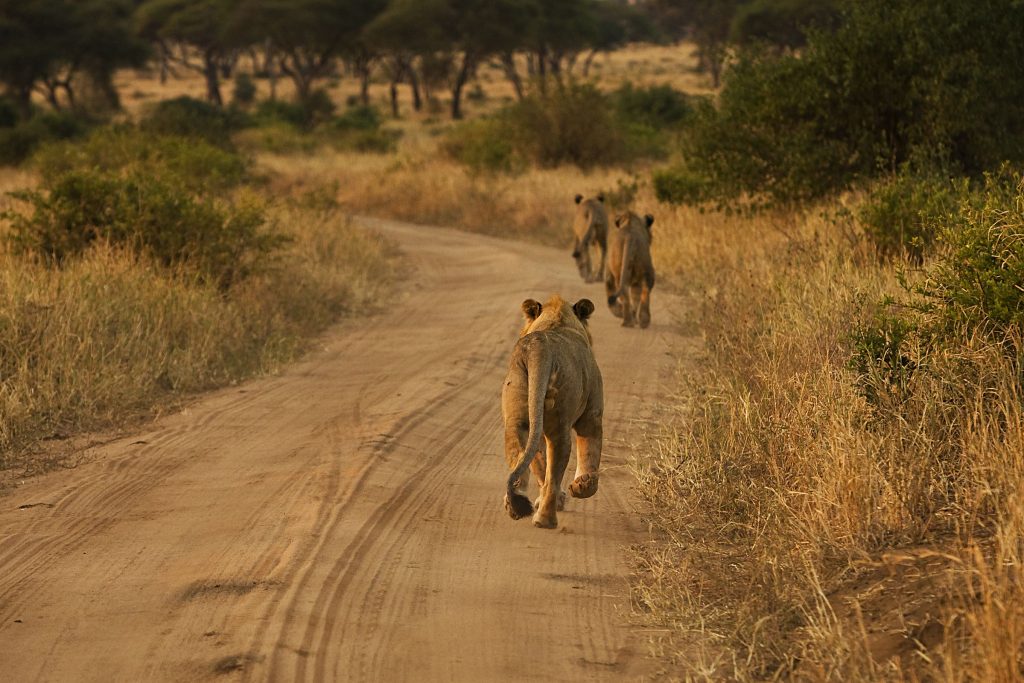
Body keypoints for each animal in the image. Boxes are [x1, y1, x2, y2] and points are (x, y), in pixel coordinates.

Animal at [501, 294, 602, 528]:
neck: (557, 320)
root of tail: (541, 349)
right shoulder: (592, 414)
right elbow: (590, 452)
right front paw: (583, 485)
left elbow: (539, 464)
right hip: (559, 424)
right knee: (555, 470)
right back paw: (546, 518)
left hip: (518, 415)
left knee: (520, 453)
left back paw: (516, 505)